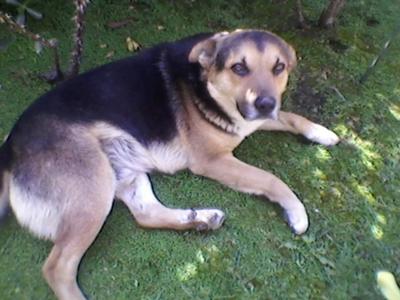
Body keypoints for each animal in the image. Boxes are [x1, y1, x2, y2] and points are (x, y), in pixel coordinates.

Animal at [0, 29, 338, 298]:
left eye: (278, 67)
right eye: (239, 67)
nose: (266, 103)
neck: (205, 83)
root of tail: (9, 148)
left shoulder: (250, 120)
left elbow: (290, 117)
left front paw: (321, 132)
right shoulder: (213, 160)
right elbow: (271, 179)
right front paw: (296, 211)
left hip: (123, 170)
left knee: (145, 215)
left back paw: (201, 220)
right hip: (92, 191)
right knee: (57, 268)